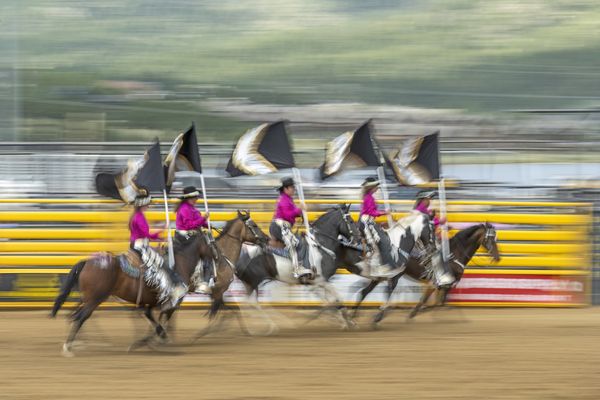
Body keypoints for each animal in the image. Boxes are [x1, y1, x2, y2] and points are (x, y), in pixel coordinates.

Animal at [352, 222, 502, 324]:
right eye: (490, 238)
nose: (497, 257)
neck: (454, 254)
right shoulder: (437, 283)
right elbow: (429, 301)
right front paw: (412, 313)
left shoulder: (443, 285)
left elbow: (438, 303)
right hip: (393, 275)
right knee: (378, 291)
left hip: (381, 275)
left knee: (364, 291)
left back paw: (356, 315)